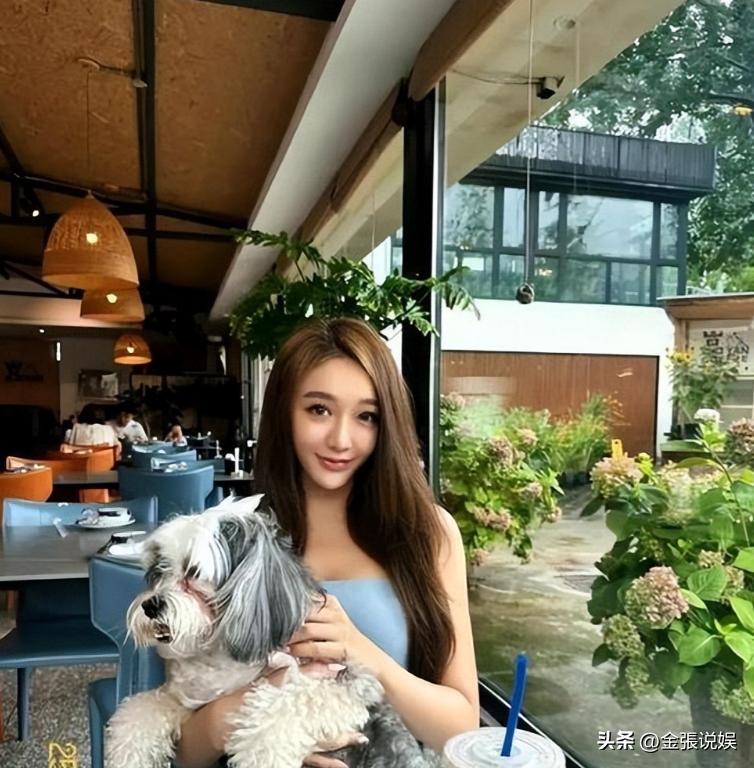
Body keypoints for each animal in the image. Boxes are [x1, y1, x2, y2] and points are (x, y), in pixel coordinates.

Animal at [105, 495, 439, 768]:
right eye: (161, 570)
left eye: (193, 573)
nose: (151, 605)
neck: (223, 658)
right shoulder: (187, 701)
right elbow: (142, 710)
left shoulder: (343, 684)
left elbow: (282, 708)